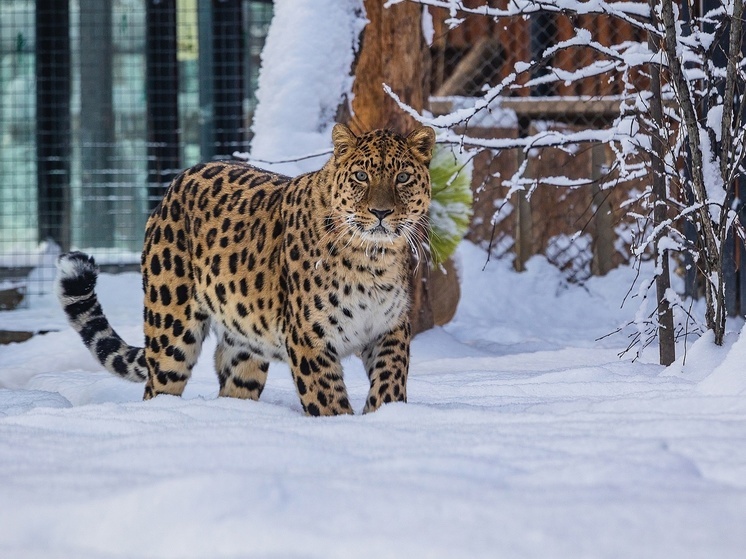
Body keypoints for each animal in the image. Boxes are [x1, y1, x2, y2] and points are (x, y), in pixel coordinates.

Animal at [56, 126, 436, 416]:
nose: (381, 213)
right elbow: (327, 400)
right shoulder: (310, 339)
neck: (373, 260)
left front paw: (384, 417)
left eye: (403, 177)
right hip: (171, 334)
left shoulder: (389, 328)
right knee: (157, 386)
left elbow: (390, 380)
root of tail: (174, 185)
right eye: (361, 176)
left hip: (243, 347)